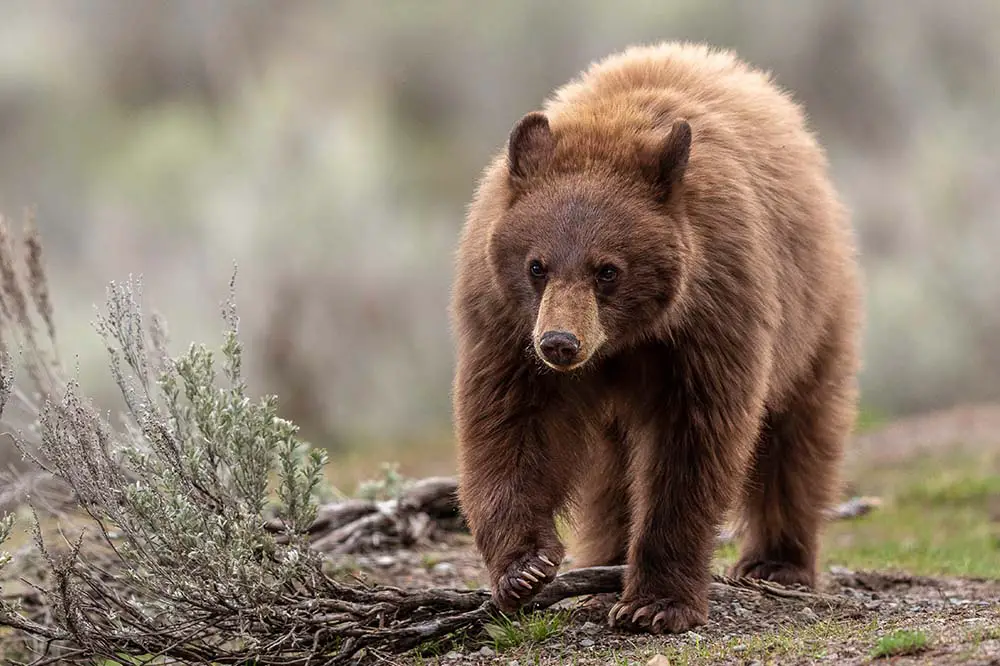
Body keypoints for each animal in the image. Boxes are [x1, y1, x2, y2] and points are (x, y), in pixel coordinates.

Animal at [450, 41, 864, 632]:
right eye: (536, 266)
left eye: (607, 270)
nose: (560, 343)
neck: (626, 341)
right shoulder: (504, 325)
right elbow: (510, 424)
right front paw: (524, 567)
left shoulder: (712, 316)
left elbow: (691, 444)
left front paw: (656, 602)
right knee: (609, 474)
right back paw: (603, 567)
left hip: (815, 315)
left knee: (798, 435)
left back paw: (776, 563)